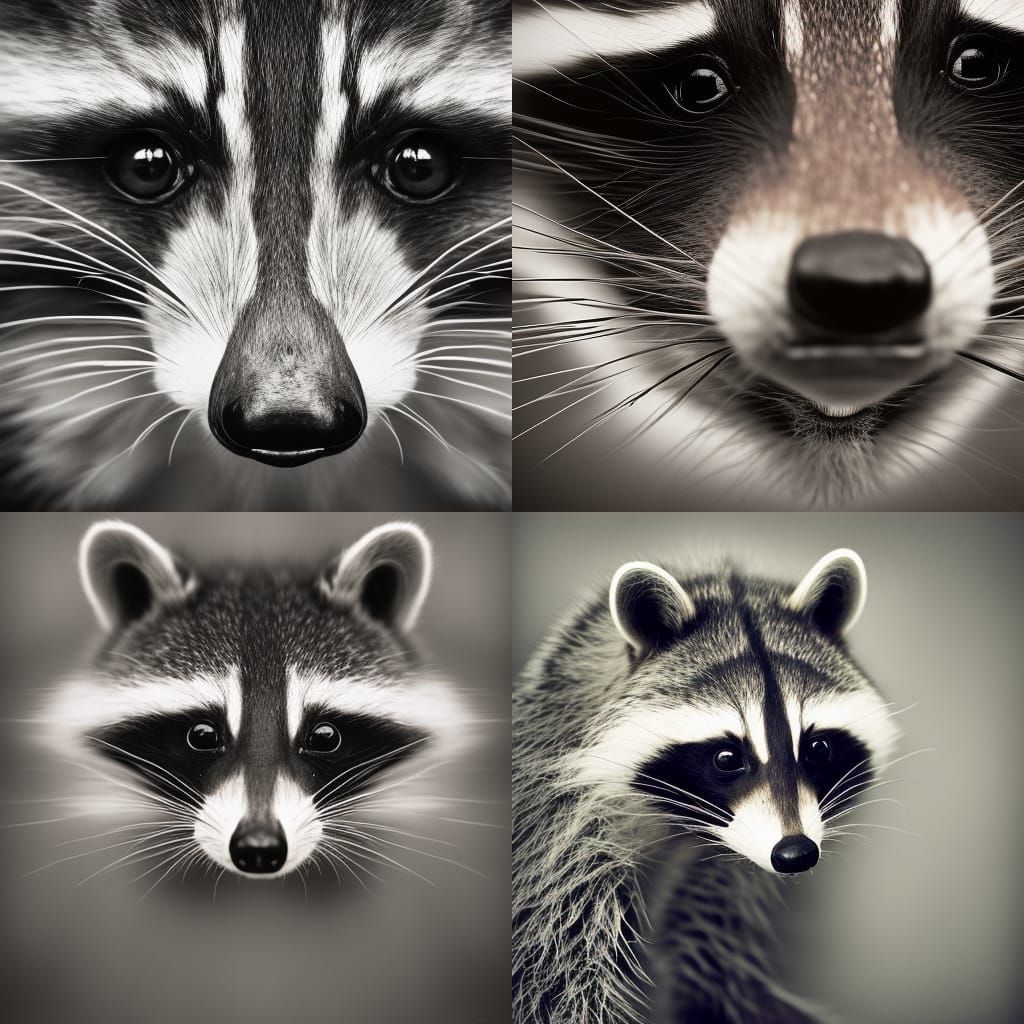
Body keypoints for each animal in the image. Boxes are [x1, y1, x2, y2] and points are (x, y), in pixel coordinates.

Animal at [513, 549, 901, 1023]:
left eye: (819, 748)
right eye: (727, 758)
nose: (796, 854)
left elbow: (710, 961)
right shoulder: (558, 833)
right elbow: (554, 974)